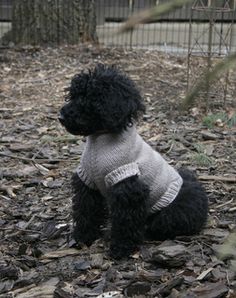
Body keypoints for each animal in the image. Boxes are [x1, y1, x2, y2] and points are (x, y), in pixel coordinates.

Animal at [59, 64, 208, 260]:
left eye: (90, 98)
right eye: (73, 95)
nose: (61, 117)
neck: (101, 139)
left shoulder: (126, 185)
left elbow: (125, 222)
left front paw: (121, 248)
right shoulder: (87, 181)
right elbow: (86, 211)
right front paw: (83, 237)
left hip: (170, 213)